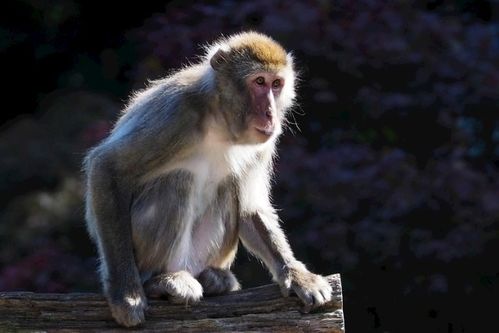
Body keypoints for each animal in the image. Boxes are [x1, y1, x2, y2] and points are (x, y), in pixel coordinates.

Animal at [84, 31, 334, 326]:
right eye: (259, 82)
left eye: (276, 84)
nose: (270, 113)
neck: (221, 120)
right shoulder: (175, 112)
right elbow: (107, 168)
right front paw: (126, 294)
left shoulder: (265, 141)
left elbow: (251, 206)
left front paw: (297, 276)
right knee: (177, 181)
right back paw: (160, 282)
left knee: (229, 187)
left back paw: (215, 279)